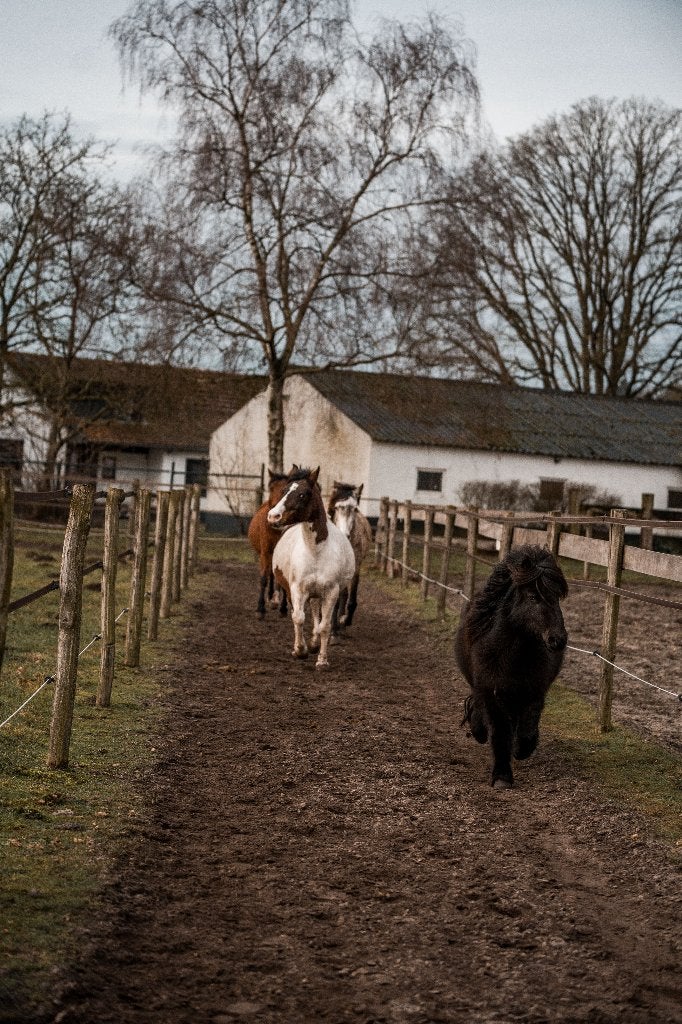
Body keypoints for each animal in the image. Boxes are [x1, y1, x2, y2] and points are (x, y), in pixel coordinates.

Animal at [247, 471, 291, 619]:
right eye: (271, 488)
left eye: (286, 489)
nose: (275, 515)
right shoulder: (265, 552)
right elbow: (264, 578)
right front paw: (260, 609)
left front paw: (283, 608)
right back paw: (271, 596)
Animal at [268, 466, 355, 669]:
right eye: (284, 491)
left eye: (302, 494)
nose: (273, 516)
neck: (316, 551)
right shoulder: (297, 589)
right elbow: (298, 617)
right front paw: (300, 650)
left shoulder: (331, 592)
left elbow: (325, 626)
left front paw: (322, 660)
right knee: (300, 613)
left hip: (318, 593)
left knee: (316, 611)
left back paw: (315, 643)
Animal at [327, 481, 373, 631]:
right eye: (337, 507)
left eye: (355, 508)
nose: (345, 535)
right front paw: (333, 628)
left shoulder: (356, 567)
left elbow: (351, 595)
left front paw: (345, 620)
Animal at [455, 544, 568, 789]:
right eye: (534, 596)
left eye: (557, 598)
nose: (558, 639)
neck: (511, 657)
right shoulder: (491, 692)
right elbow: (499, 732)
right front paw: (502, 776)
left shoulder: (533, 692)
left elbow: (527, 728)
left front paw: (521, 749)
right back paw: (478, 730)